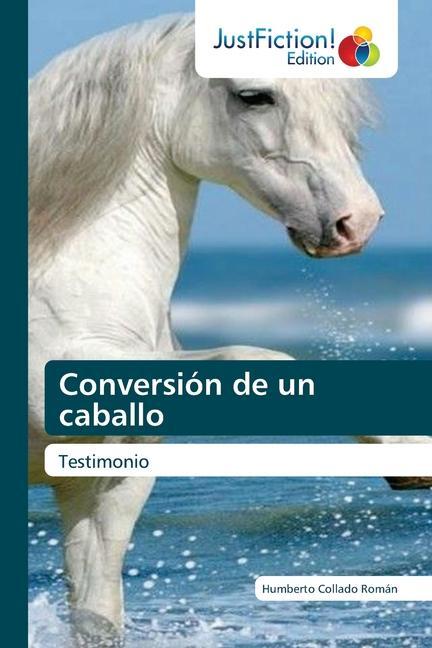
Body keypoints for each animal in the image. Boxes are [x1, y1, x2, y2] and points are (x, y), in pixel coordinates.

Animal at [28, 13, 431, 647]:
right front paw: (410, 455)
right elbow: (259, 358)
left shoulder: (102, 485)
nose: (359, 222)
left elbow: (96, 615)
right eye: (254, 96)